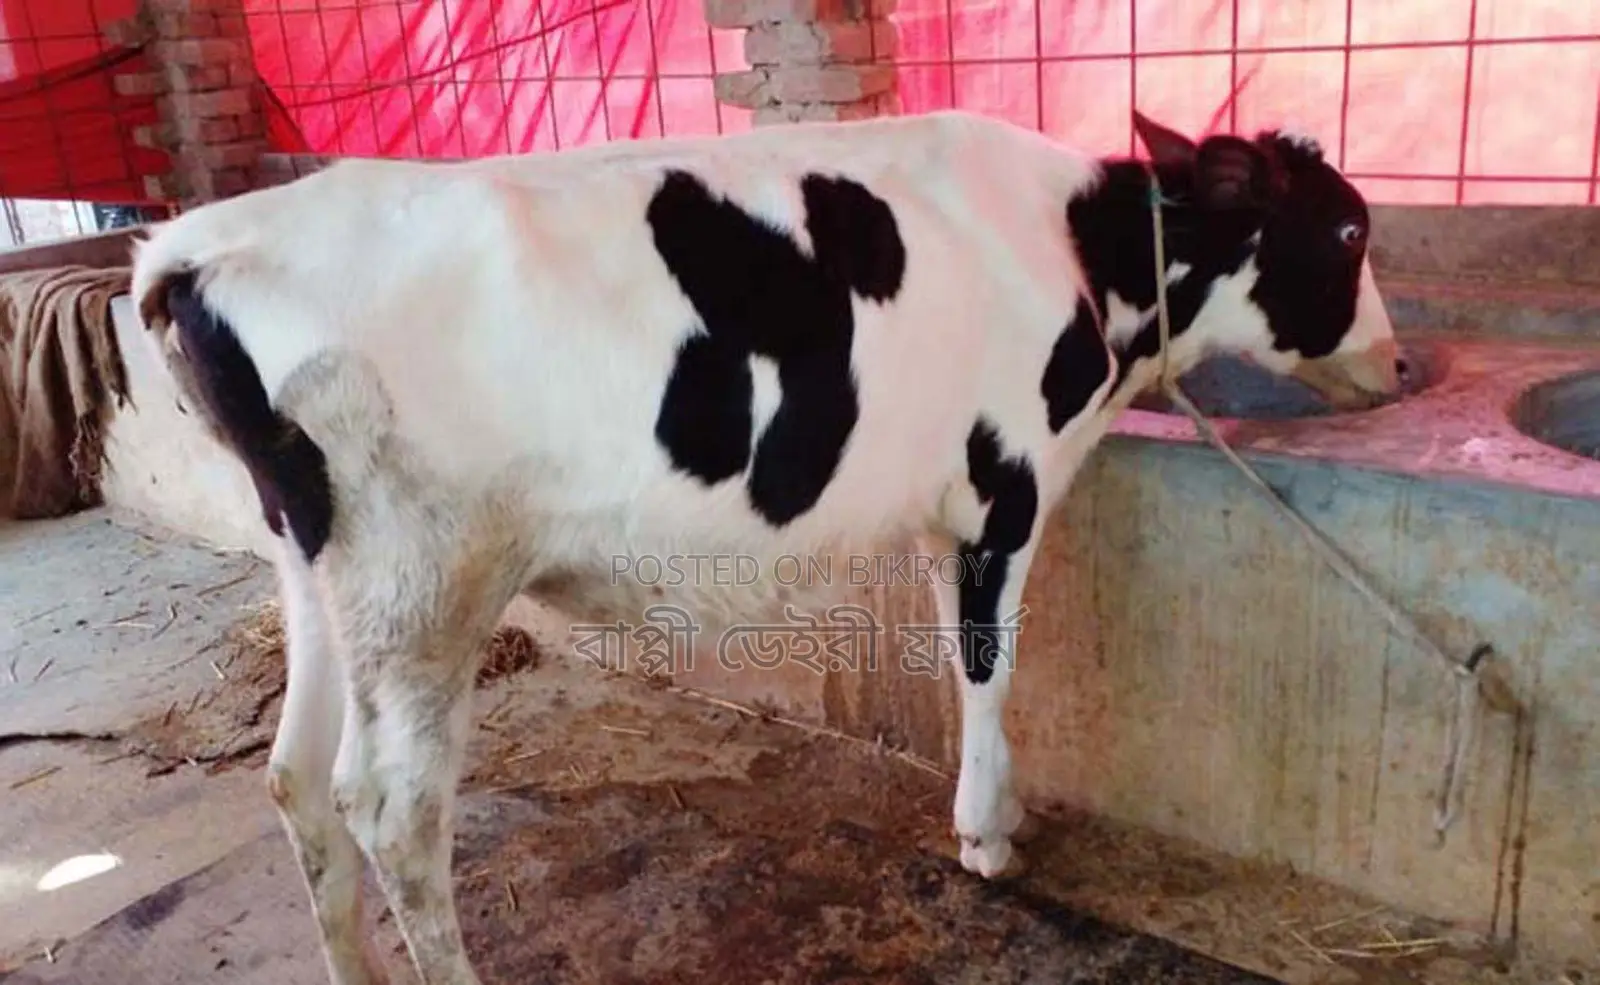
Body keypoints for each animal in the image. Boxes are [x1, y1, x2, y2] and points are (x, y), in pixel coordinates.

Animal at [129, 107, 1399, 985]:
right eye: (1347, 227)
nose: (1395, 364)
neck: (1085, 256)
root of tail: (195, 247)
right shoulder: (1008, 482)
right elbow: (988, 665)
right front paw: (988, 834)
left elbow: (961, 653)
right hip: (424, 581)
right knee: (390, 811)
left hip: (320, 570)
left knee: (294, 776)